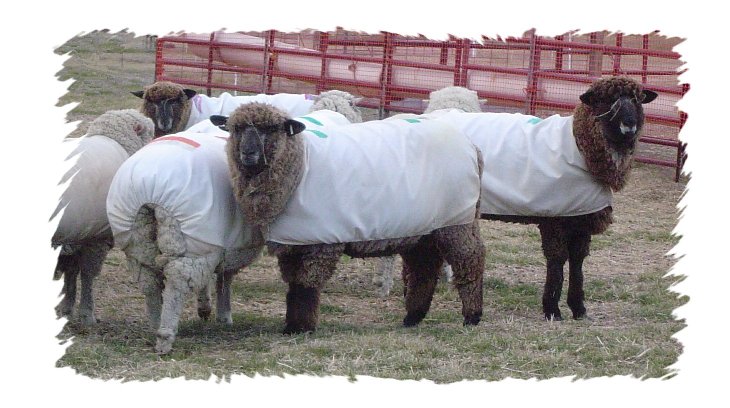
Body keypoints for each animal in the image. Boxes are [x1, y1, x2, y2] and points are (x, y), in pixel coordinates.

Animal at [51, 109, 155, 325]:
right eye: (150, 133)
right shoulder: (98, 236)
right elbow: (88, 274)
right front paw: (87, 314)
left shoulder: (77, 233)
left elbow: (71, 270)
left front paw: (66, 307)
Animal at [106, 121, 264, 354]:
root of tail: (150, 191)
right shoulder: (222, 249)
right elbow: (225, 278)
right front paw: (223, 314)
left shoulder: (218, 249)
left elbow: (220, 278)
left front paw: (210, 310)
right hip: (185, 244)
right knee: (176, 284)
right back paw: (165, 337)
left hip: (138, 241)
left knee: (149, 283)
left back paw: (155, 325)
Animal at [225, 102, 486, 334]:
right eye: (235, 128)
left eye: (271, 128)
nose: (248, 154)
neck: (300, 165)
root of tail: (472, 146)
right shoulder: (294, 242)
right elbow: (294, 286)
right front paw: (293, 325)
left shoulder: (321, 242)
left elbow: (306, 286)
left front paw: (301, 328)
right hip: (423, 227)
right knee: (424, 268)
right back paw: (412, 317)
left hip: (457, 221)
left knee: (470, 259)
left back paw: (471, 317)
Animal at [419, 76, 658, 321]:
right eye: (605, 100)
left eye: (637, 99)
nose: (629, 125)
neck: (578, 146)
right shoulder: (554, 217)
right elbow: (557, 260)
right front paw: (552, 309)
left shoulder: (580, 216)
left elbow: (578, 260)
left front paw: (578, 308)